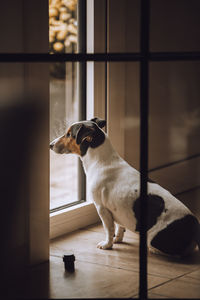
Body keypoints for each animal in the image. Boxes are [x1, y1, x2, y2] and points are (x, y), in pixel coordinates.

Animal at [50, 117, 200, 258]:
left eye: (69, 134)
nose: (50, 145)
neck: (102, 161)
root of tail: (194, 227)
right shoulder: (117, 209)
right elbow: (119, 227)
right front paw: (118, 239)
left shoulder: (102, 208)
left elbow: (108, 229)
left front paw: (107, 244)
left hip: (153, 239)